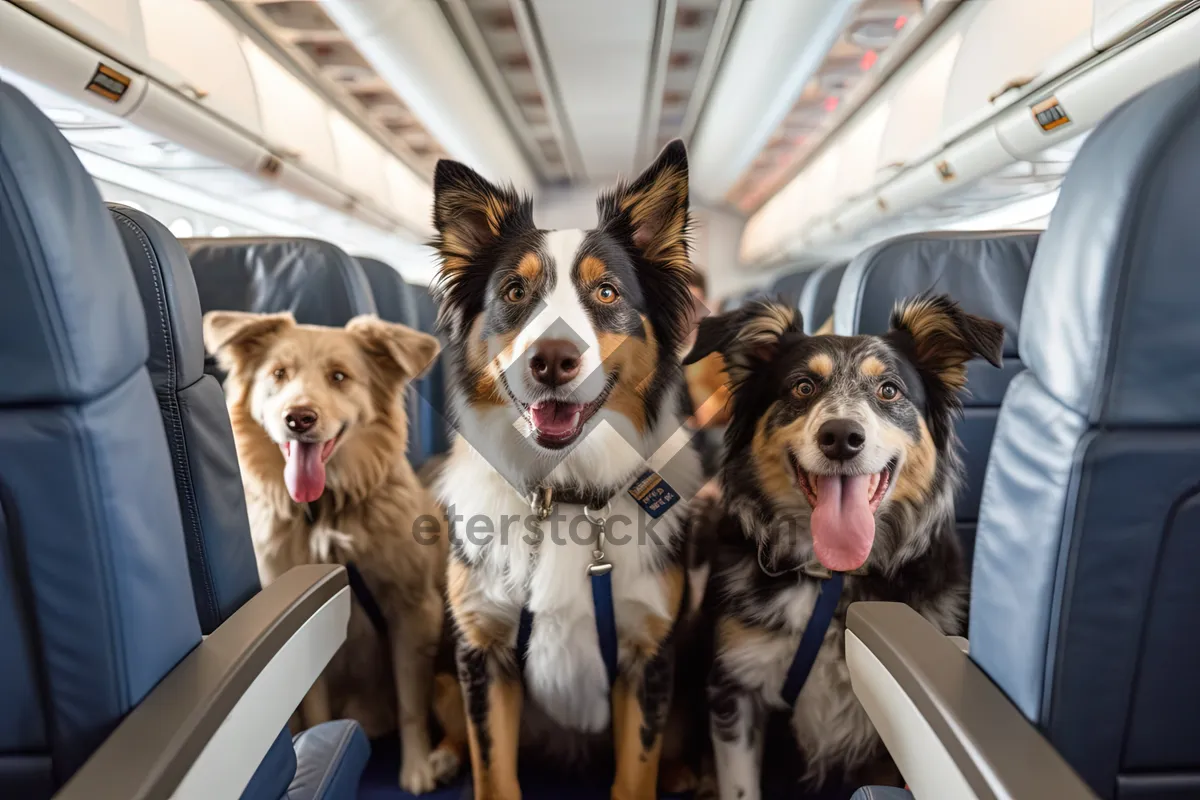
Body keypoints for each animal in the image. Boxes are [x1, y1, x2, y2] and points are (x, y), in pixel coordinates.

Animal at [204, 311, 465, 796]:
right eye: (278, 374)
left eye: (339, 377)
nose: (299, 418)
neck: (326, 512)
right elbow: (315, 706)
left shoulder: (413, 611)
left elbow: (411, 703)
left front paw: (416, 769)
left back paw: (443, 758)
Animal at [429, 140, 700, 796]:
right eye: (513, 293)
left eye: (606, 293)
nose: (552, 359)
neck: (564, 491)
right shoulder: (481, 650)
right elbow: (492, 769)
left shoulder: (649, 653)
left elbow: (637, 771)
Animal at [686, 297, 1003, 796]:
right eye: (802, 387)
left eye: (889, 390)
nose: (840, 437)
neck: (834, 578)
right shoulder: (737, 686)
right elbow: (740, 786)